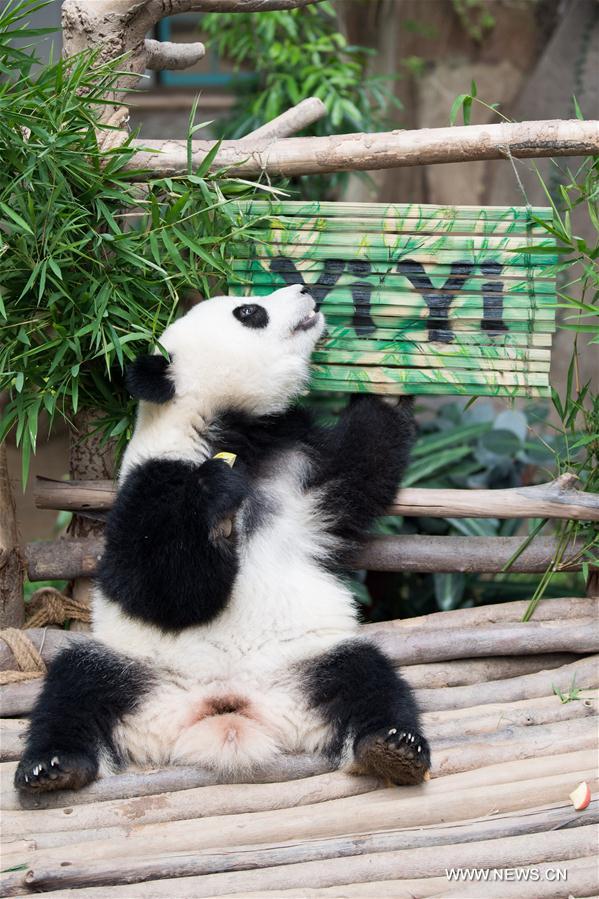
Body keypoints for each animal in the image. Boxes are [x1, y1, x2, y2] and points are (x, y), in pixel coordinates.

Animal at [15, 283, 430, 793]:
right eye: (248, 312)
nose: (304, 288)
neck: (227, 428)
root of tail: (230, 713)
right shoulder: (147, 486)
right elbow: (158, 589)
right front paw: (215, 497)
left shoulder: (305, 470)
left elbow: (367, 457)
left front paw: (388, 374)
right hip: (141, 672)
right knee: (76, 686)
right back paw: (52, 767)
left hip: (307, 662)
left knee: (367, 678)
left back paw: (393, 748)